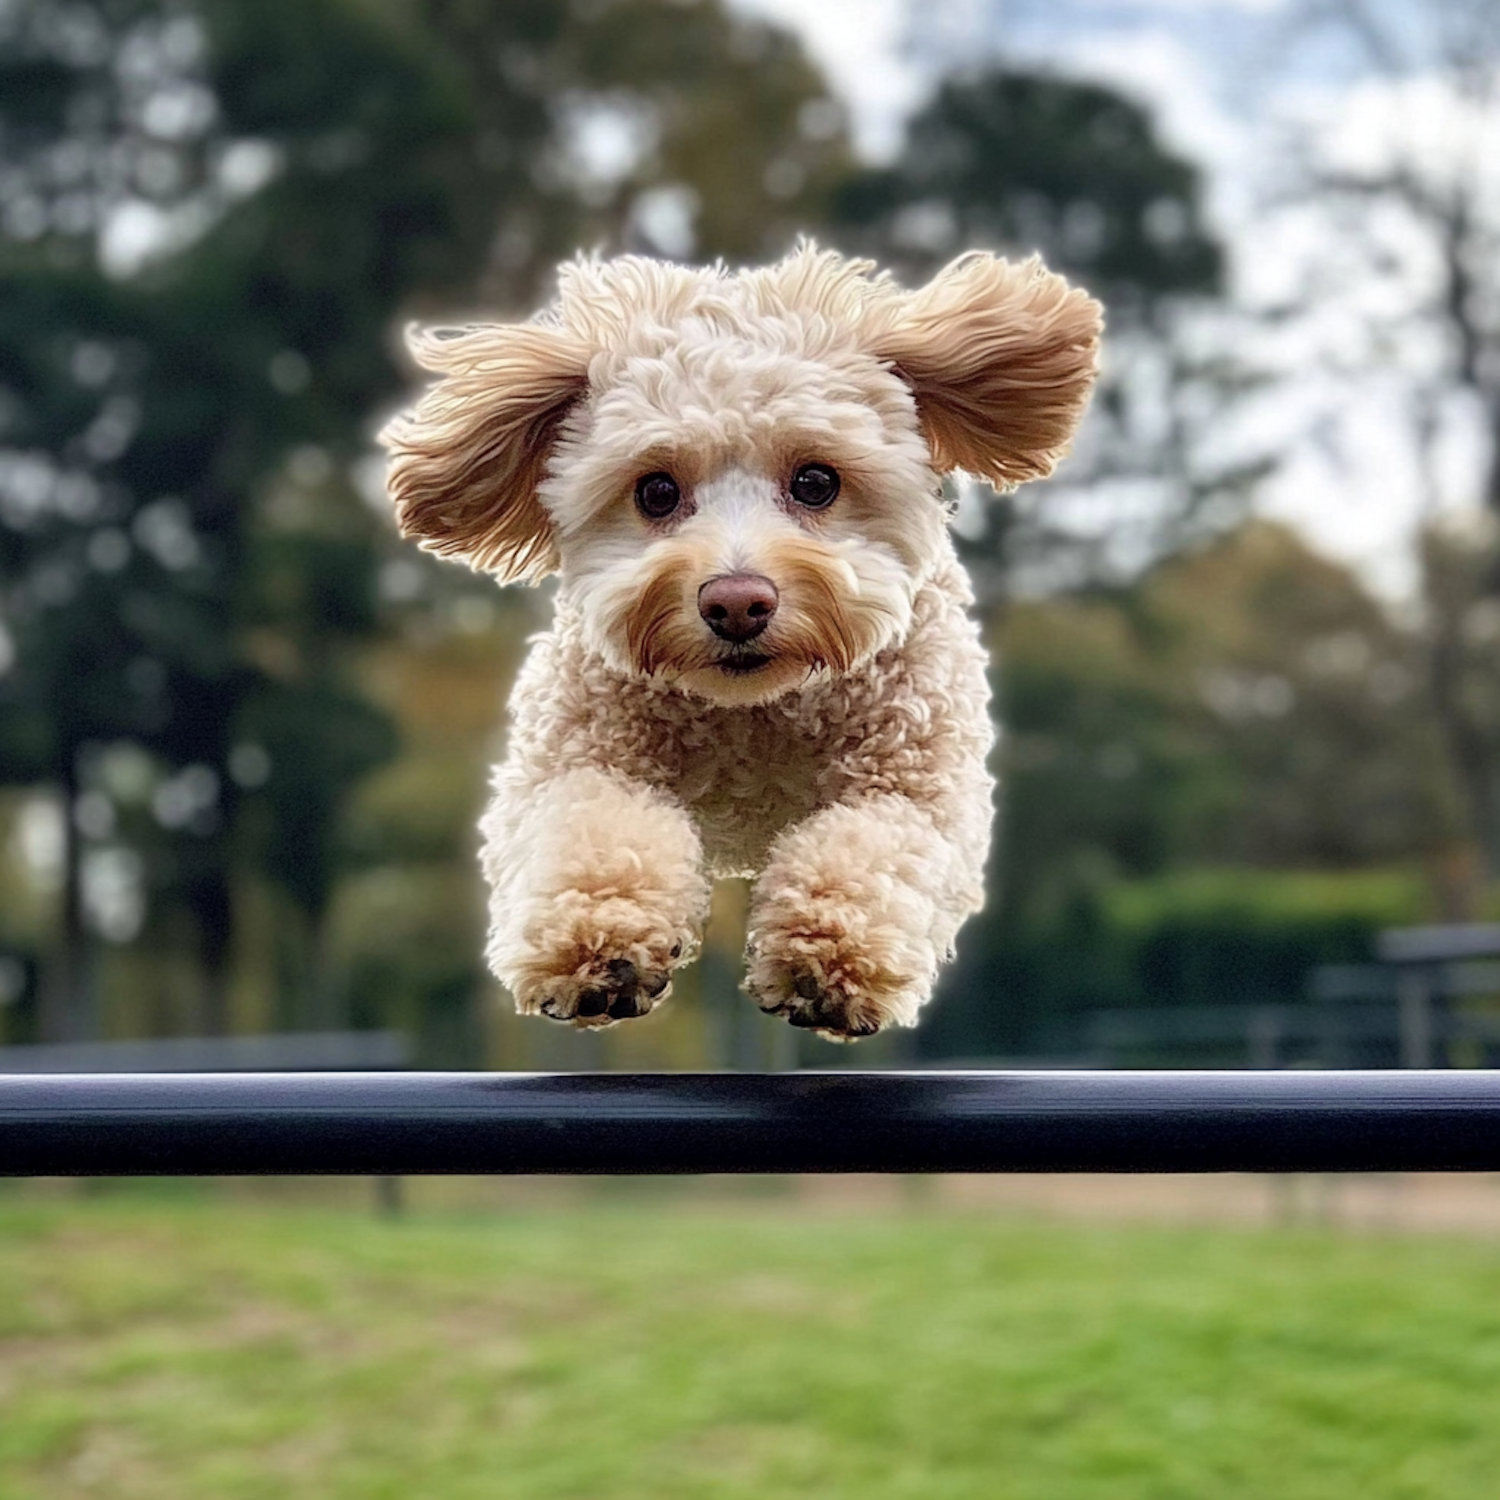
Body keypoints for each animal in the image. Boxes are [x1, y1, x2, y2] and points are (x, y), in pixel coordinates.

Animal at [381, 246, 1098, 1044]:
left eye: (816, 481)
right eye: (656, 492)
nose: (735, 603)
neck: (754, 714)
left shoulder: (918, 783)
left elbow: (875, 843)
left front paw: (829, 959)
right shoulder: (576, 757)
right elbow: (590, 823)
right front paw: (599, 943)